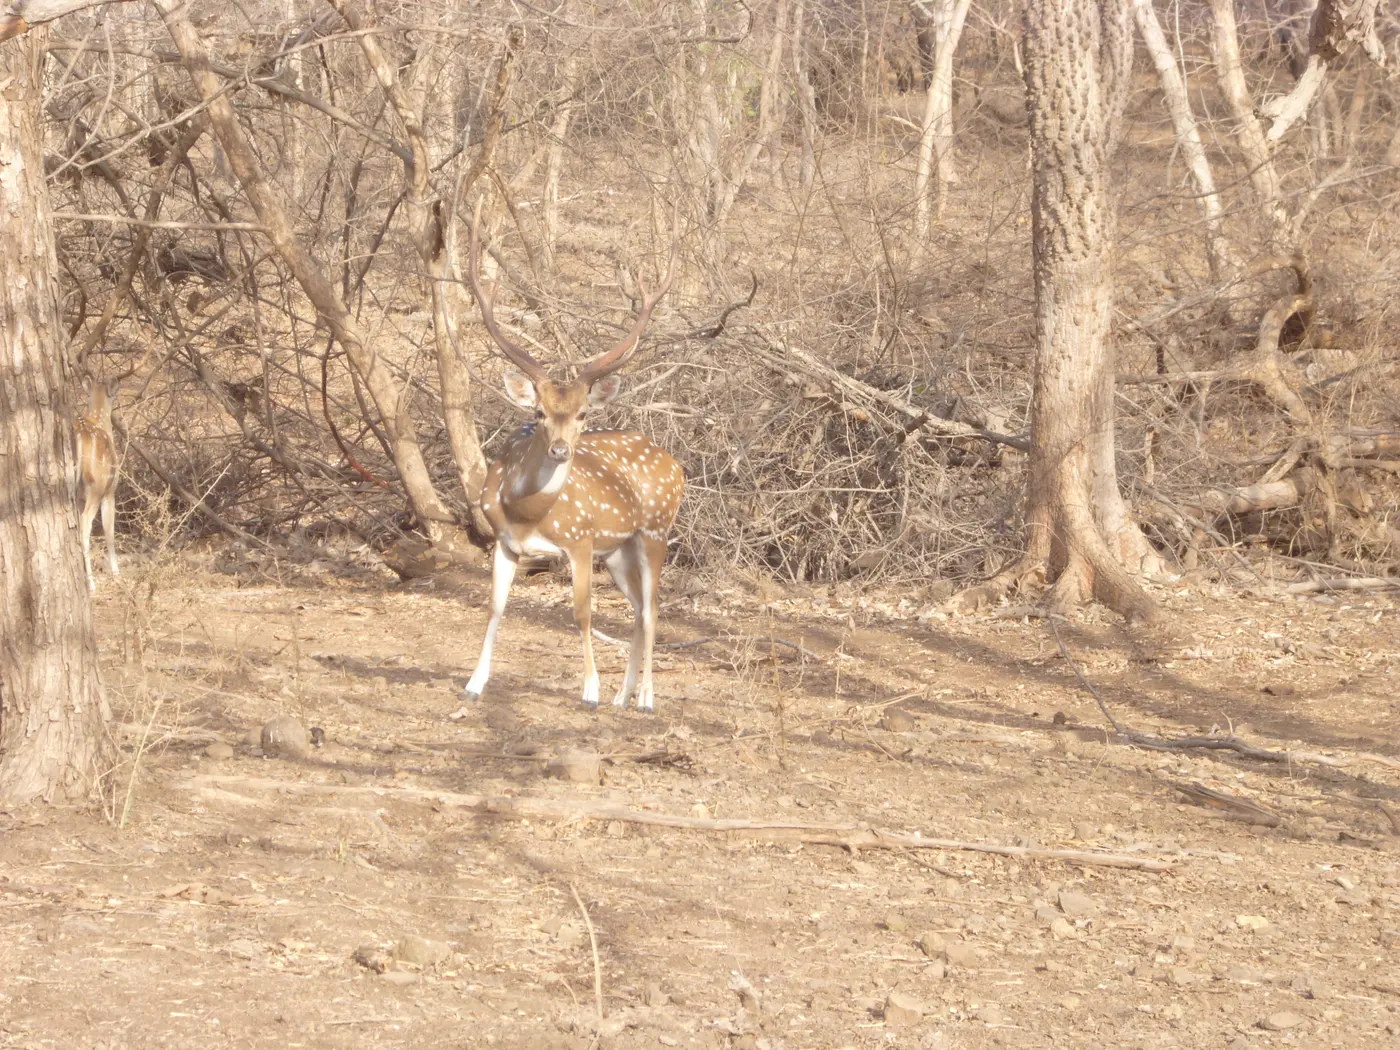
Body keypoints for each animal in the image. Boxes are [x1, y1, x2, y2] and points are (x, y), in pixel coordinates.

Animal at [462, 208, 682, 712]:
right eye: (539, 412)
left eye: (583, 413)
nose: (561, 449)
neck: (527, 513)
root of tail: (677, 465)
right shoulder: (505, 542)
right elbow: (494, 607)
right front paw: (474, 683)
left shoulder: (580, 540)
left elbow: (582, 612)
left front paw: (590, 690)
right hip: (619, 548)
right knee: (637, 609)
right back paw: (624, 694)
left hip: (655, 530)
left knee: (653, 608)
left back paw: (645, 697)